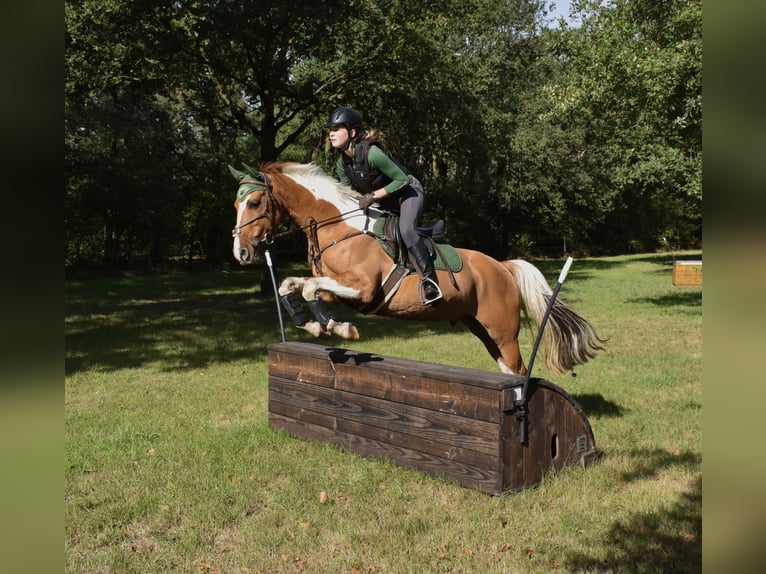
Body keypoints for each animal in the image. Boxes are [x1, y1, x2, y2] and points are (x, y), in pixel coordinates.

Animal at [228, 162, 608, 378]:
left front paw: (340, 329)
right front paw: (312, 324)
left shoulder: (362, 289)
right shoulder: (335, 288)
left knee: (517, 368)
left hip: (502, 331)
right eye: (236, 203)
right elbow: (292, 285)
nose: (240, 252)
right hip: (482, 329)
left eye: (256, 202)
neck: (336, 226)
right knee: (506, 367)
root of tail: (502, 267)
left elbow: (308, 288)